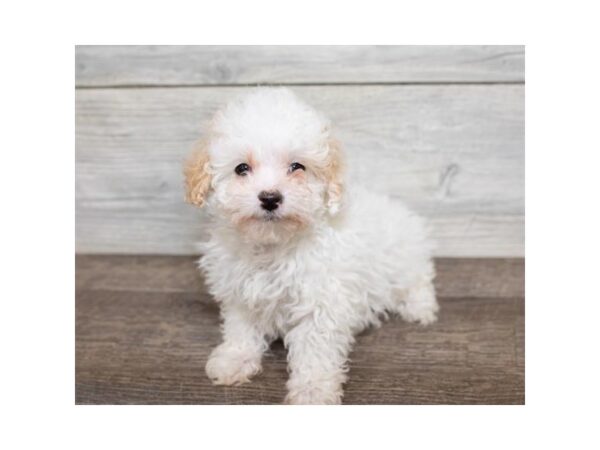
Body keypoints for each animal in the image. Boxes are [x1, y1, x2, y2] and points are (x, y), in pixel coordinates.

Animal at [185, 88, 438, 404]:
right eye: (242, 168)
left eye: (297, 167)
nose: (270, 197)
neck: (273, 245)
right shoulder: (240, 292)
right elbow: (241, 328)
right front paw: (235, 359)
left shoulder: (321, 301)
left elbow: (315, 350)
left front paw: (312, 390)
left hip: (403, 257)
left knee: (418, 280)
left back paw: (421, 308)